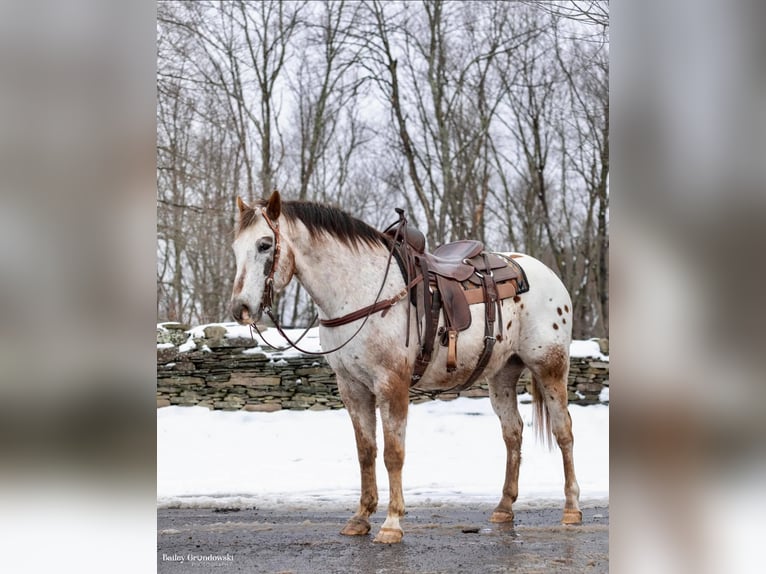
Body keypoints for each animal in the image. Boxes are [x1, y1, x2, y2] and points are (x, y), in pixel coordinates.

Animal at [228, 192, 584, 544]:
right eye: (235, 247)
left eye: (264, 244)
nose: (240, 308)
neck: (361, 291)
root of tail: (547, 275)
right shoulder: (352, 388)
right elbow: (366, 451)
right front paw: (360, 517)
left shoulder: (392, 384)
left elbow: (392, 453)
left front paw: (391, 524)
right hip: (502, 374)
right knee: (513, 433)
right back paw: (504, 508)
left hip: (550, 367)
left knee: (564, 431)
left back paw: (571, 509)